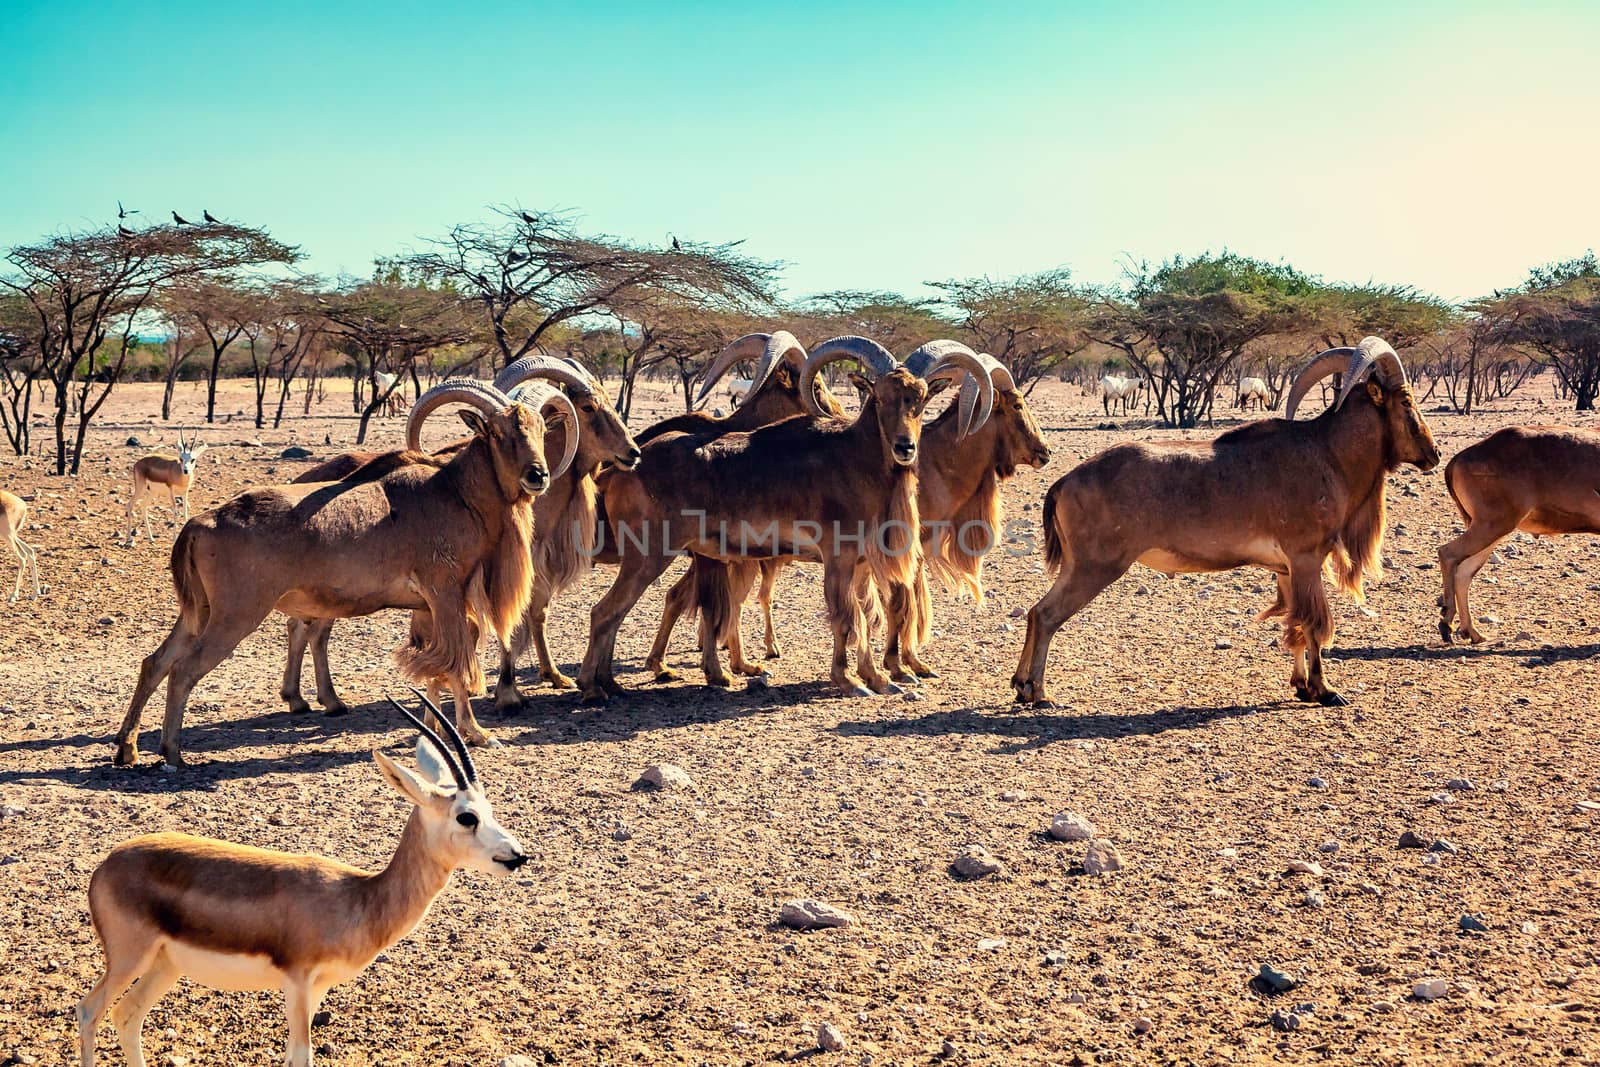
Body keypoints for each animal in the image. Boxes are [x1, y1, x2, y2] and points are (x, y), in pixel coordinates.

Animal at [79, 694, 524, 1067]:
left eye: (489, 808)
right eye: (466, 817)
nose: (517, 855)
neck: (357, 899)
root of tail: (107, 864)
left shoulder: (319, 987)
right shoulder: (296, 982)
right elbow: (300, 1056)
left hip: (164, 964)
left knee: (127, 1015)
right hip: (130, 958)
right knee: (90, 1011)